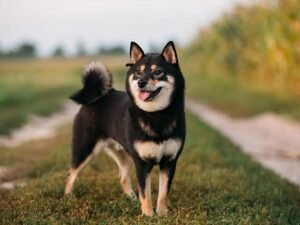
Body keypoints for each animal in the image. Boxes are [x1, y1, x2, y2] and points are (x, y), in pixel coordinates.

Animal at [64, 40, 185, 216]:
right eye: (138, 72)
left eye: (158, 72)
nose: (141, 82)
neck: (156, 115)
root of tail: (99, 96)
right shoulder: (142, 164)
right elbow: (145, 193)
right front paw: (148, 215)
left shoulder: (169, 162)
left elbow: (163, 193)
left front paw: (162, 214)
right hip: (84, 149)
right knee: (71, 172)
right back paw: (68, 197)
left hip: (123, 154)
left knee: (122, 177)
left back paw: (131, 198)